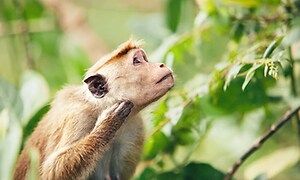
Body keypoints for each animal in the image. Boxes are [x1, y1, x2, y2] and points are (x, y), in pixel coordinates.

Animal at [13, 39, 173, 180]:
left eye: (144, 59)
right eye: (137, 61)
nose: (161, 65)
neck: (98, 106)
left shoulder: (135, 126)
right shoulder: (78, 116)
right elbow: (52, 171)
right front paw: (107, 125)